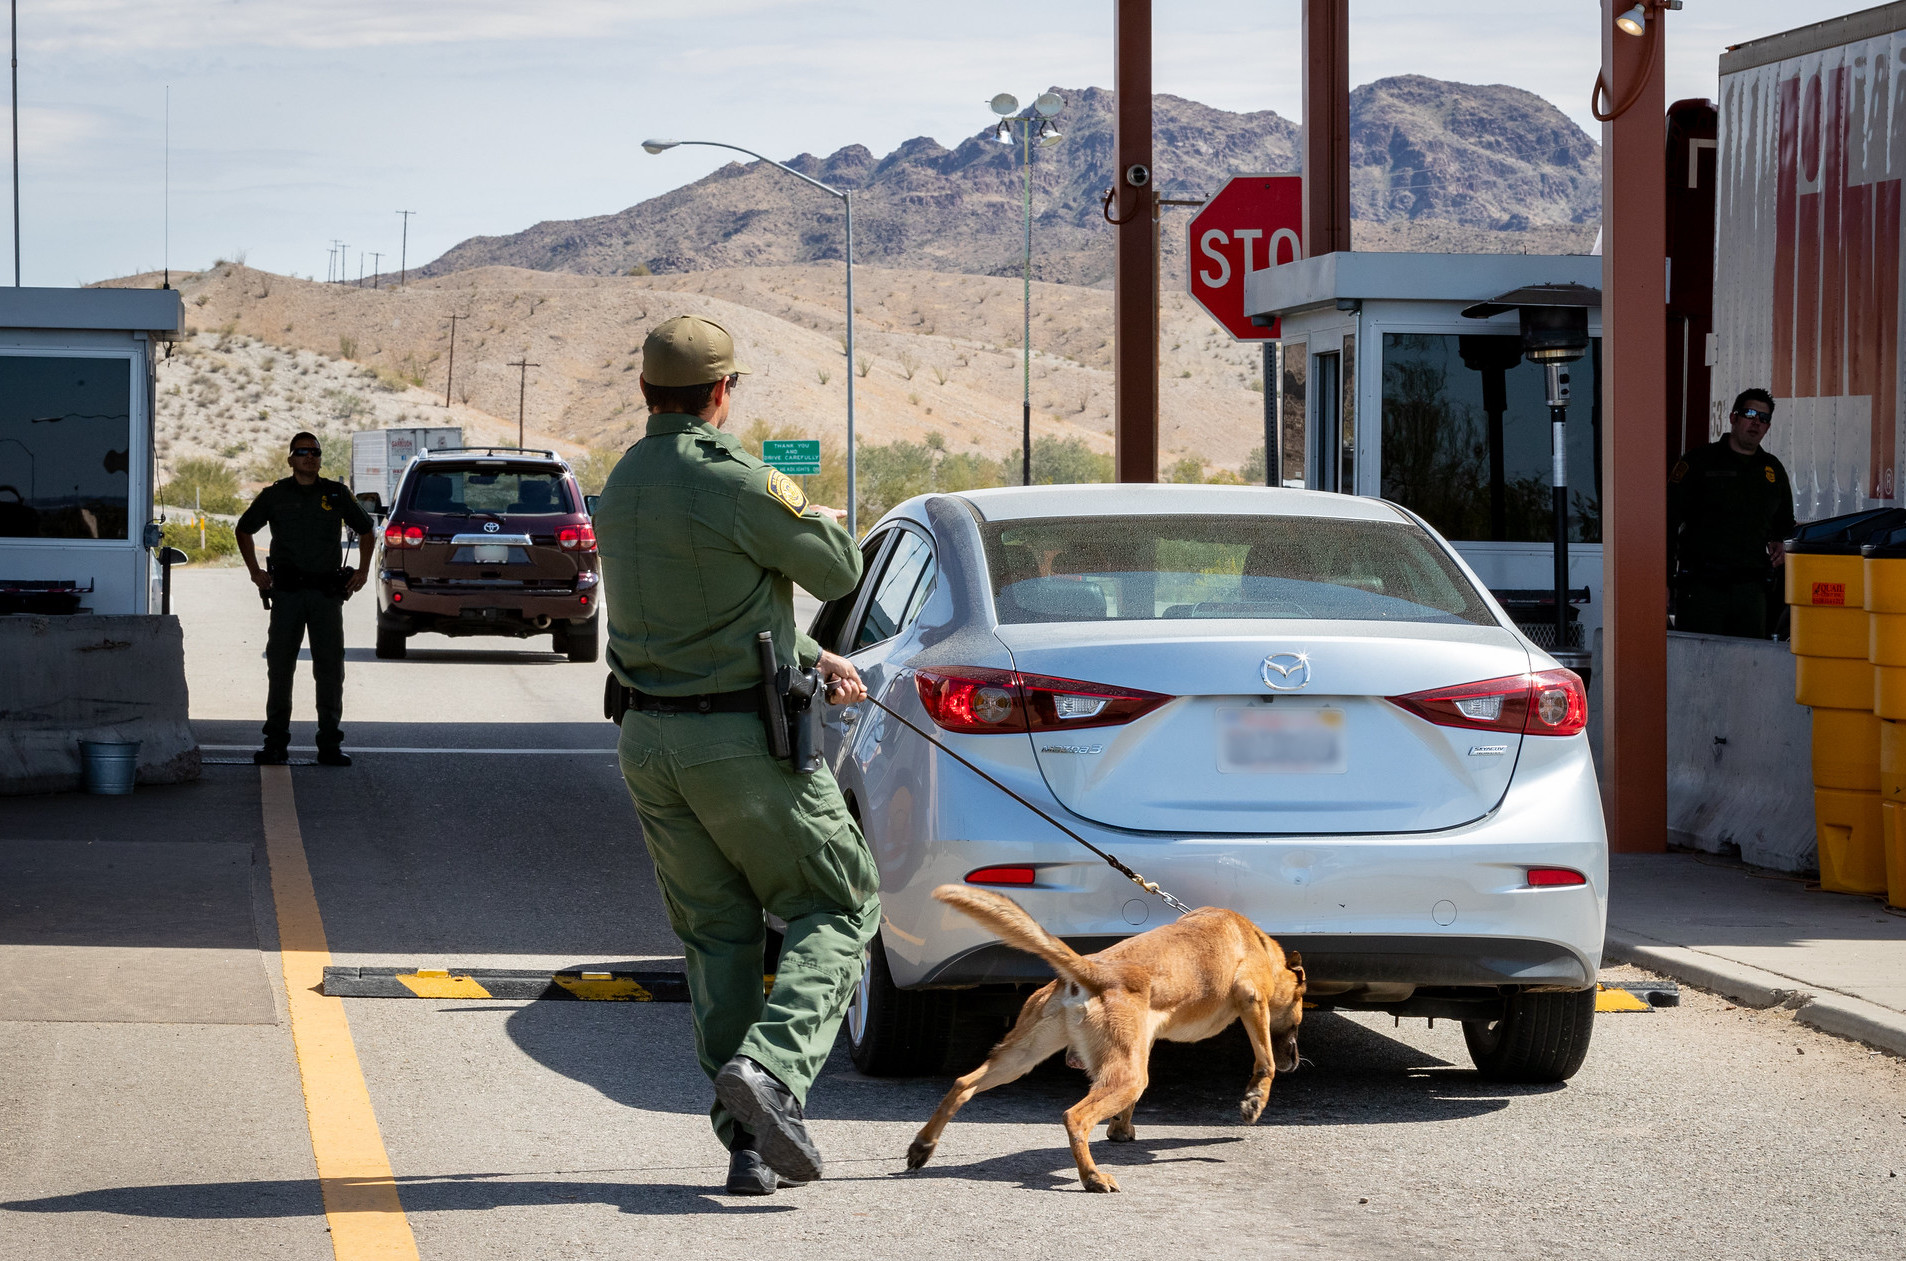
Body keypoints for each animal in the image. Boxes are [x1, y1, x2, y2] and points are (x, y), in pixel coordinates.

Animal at [899, 880, 1303, 1196]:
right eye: (1300, 1008)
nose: (1295, 1061)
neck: (1258, 945)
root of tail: (1089, 970)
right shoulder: (1252, 1000)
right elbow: (1264, 1059)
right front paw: (1255, 1100)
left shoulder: (1143, 1041)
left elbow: (1130, 1108)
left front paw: (1121, 1128)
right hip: (1127, 1077)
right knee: (1074, 1117)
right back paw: (1091, 1177)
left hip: (1021, 1059)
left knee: (962, 1084)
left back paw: (923, 1145)